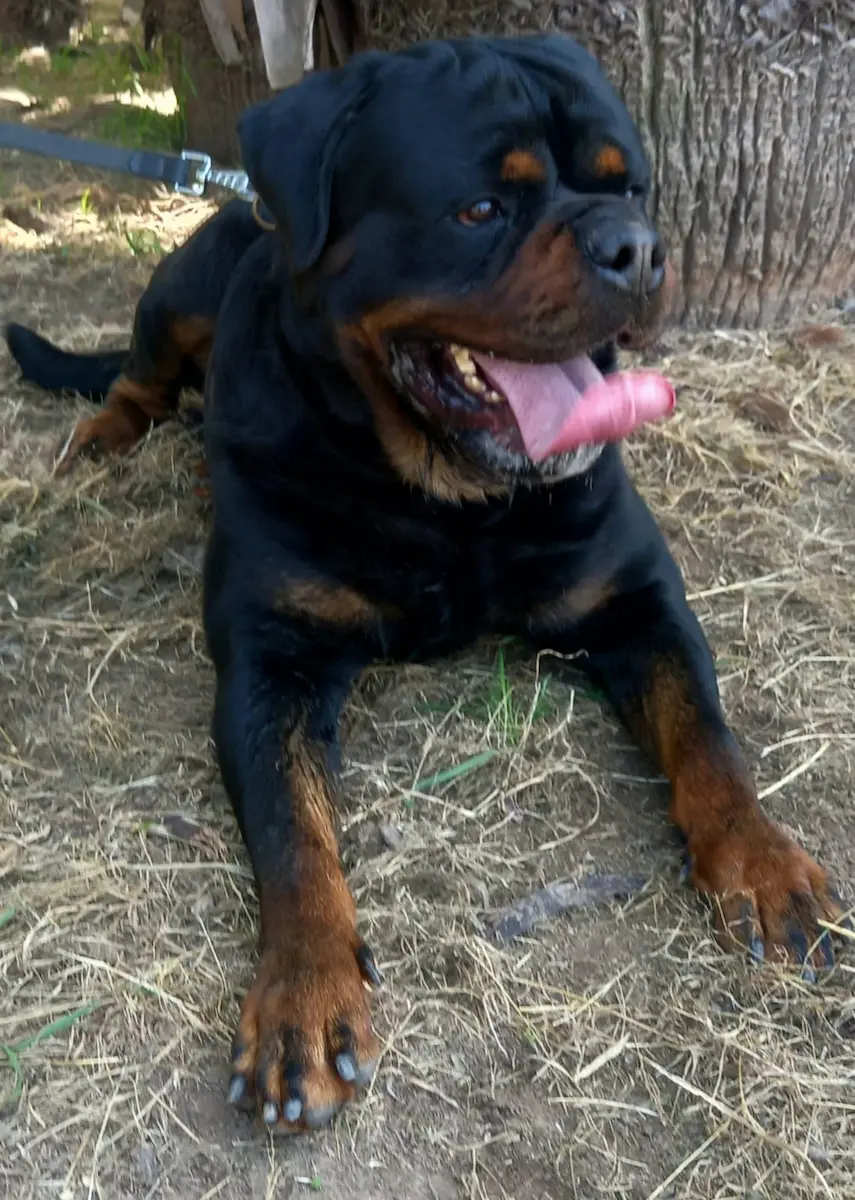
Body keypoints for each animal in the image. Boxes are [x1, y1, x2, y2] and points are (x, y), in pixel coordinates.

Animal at [5, 35, 848, 1136]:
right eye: (480, 209)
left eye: (631, 187)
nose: (636, 246)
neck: (453, 502)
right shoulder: (271, 664)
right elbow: (293, 836)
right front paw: (304, 998)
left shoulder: (640, 601)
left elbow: (708, 736)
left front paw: (761, 859)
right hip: (180, 293)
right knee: (138, 379)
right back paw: (112, 439)